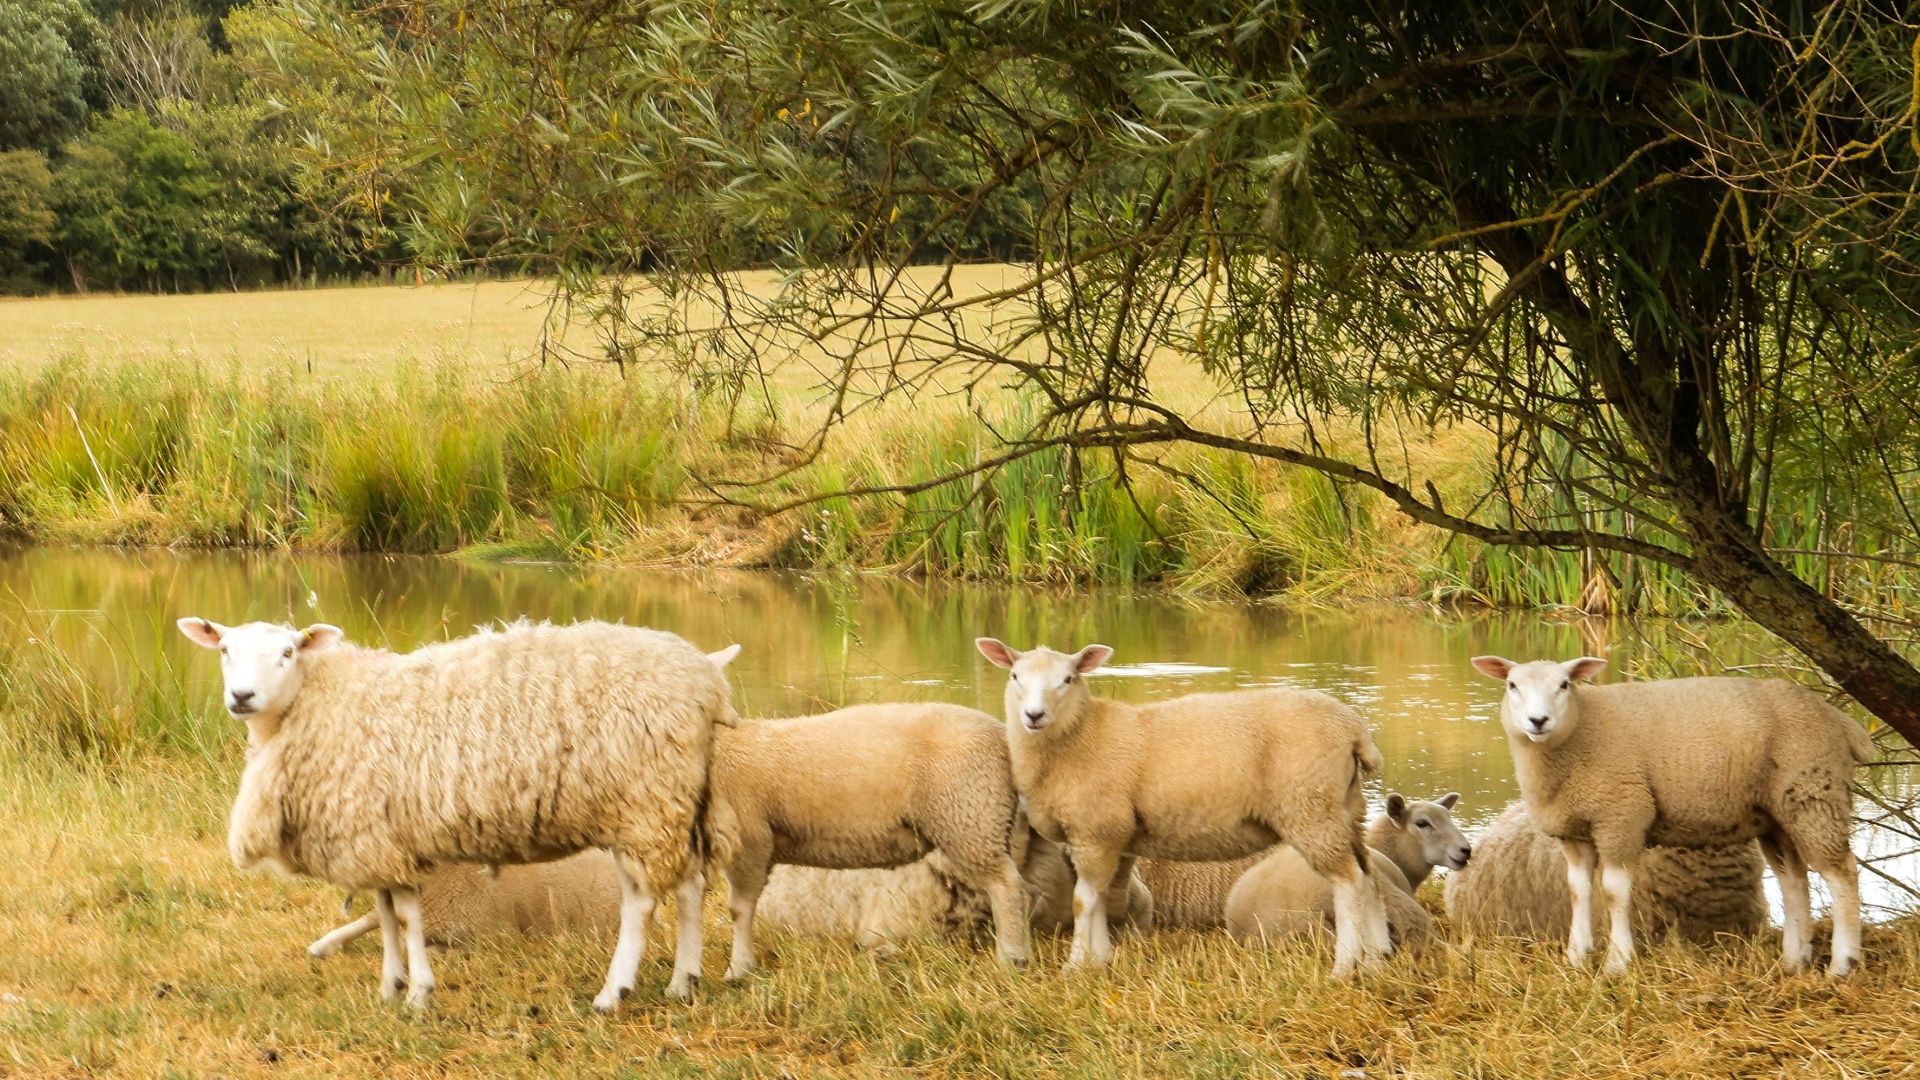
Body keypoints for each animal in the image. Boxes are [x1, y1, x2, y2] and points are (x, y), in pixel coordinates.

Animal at [178, 616, 738, 1010]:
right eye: (225, 650)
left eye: (288, 651)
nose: (241, 697)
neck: (317, 702)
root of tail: (703, 678)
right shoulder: (379, 838)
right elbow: (387, 914)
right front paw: (391, 985)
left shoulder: (380, 839)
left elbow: (405, 915)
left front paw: (418, 992)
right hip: (669, 801)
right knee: (690, 886)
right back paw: (683, 982)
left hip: (643, 801)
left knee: (642, 902)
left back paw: (614, 992)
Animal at [704, 701, 1033, 979]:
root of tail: (1000, 733)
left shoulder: (750, 840)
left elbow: (740, 909)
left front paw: (738, 969)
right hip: (978, 820)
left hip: (969, 815)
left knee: (1006, 885)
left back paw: (1012, 958)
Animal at [976, 638, 1393, 978]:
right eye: (1015, 676)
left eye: (1067, 679)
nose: (1033, 716)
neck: (1081, 735)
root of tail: (1353, 728)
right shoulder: (1104, 836)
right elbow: (1099, 899)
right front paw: (1100, 959)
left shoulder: (1096, 829)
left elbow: (1082, 901)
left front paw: (1076, 965)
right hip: (1346, 809)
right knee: (1369, 875)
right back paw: (1377, 958)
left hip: (1310, 808)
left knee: (1348, 883)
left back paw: (1344, 966)